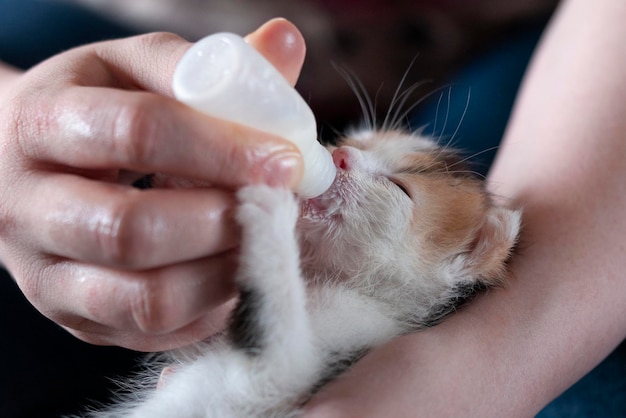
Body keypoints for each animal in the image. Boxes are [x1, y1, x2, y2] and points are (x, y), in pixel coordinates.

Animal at [92, 129, 520, 416]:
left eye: (400, 187)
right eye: (360, 143)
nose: (341, 154)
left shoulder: (271, 381)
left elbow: (275, 341)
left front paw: (270, 211)